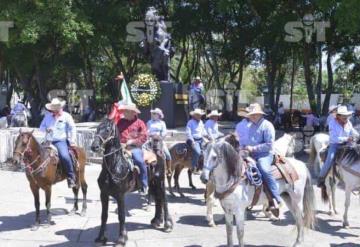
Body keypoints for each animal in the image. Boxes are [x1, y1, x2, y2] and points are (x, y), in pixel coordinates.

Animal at [91, 117, 173, 245]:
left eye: (108, 130)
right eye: (97, 128)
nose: (94, 147)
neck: (116, 166)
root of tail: (158, 152)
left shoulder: (120, 195)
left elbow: (121, 215)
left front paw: (121, 239)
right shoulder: (103, 194)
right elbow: (103, 215)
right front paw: (100, 238)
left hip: (160, 181)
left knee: (164, 199)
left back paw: (167, 225)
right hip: (152, 182)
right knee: (158, 199)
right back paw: (156, 220)